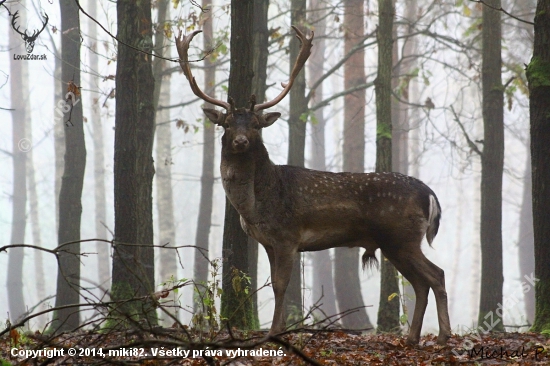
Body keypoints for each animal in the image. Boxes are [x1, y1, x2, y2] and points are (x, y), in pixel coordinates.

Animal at [176, 27, 452, 344]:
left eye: (256, 124)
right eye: (228, 123)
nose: (241, 141)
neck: (255, 206)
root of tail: (429, 194)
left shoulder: (287, 236)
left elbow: (280, 285)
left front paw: (275, 331)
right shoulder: (268, 242)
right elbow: (275, 283)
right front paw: (277, 329)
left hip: (401, 236)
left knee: (435, 275)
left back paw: (443, 336)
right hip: (396, 242)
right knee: (421, 283)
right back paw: (413, 337)